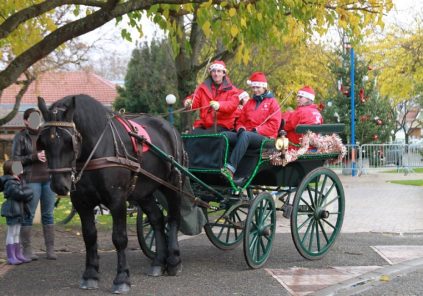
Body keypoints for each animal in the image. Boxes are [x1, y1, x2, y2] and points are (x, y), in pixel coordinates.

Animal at [37, 95, 186, 294]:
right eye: (43, 142)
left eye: (69, 141)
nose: (59, 185)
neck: (98, 148)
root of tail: (170, 128)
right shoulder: (81, 202)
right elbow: (89, 236)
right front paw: (90, 274)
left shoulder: (117, 200)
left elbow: (119, 238)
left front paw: (122, 278)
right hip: (143, 192)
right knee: (157, 220)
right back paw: (158, 262)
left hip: (173, 185)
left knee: (173, 218)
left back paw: (174, 260)